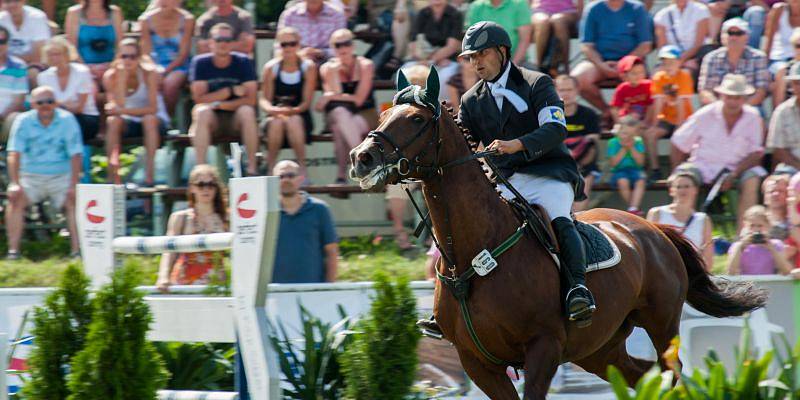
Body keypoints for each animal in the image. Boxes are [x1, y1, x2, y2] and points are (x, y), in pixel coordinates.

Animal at [350, 74, 768, 396]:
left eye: (416, 119)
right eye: (384, 114)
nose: (361, 158)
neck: (474, 252)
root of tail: (654, 229)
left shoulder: (543, 348)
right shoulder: (478, 363)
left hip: (662, 323)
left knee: (671, 376)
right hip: (598, 348)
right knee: (641, 376)